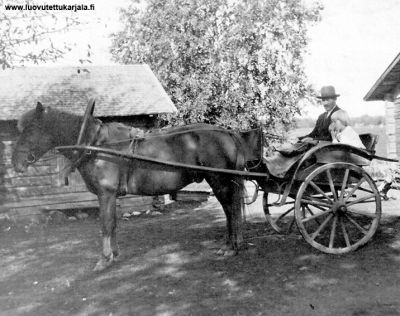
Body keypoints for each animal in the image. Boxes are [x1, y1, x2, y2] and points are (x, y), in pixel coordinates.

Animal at [12, 102, 248, 270]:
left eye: (30, 130)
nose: (16, 163)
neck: (96, 145)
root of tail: (226, 132)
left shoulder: (105, 194)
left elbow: (106, 225)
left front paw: (104, 259)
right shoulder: (110, 196)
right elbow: (113, 224)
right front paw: (114, 255)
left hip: (219, 181)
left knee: (231, 210)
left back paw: (232, 247)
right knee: (230, 211)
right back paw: (230, 245)